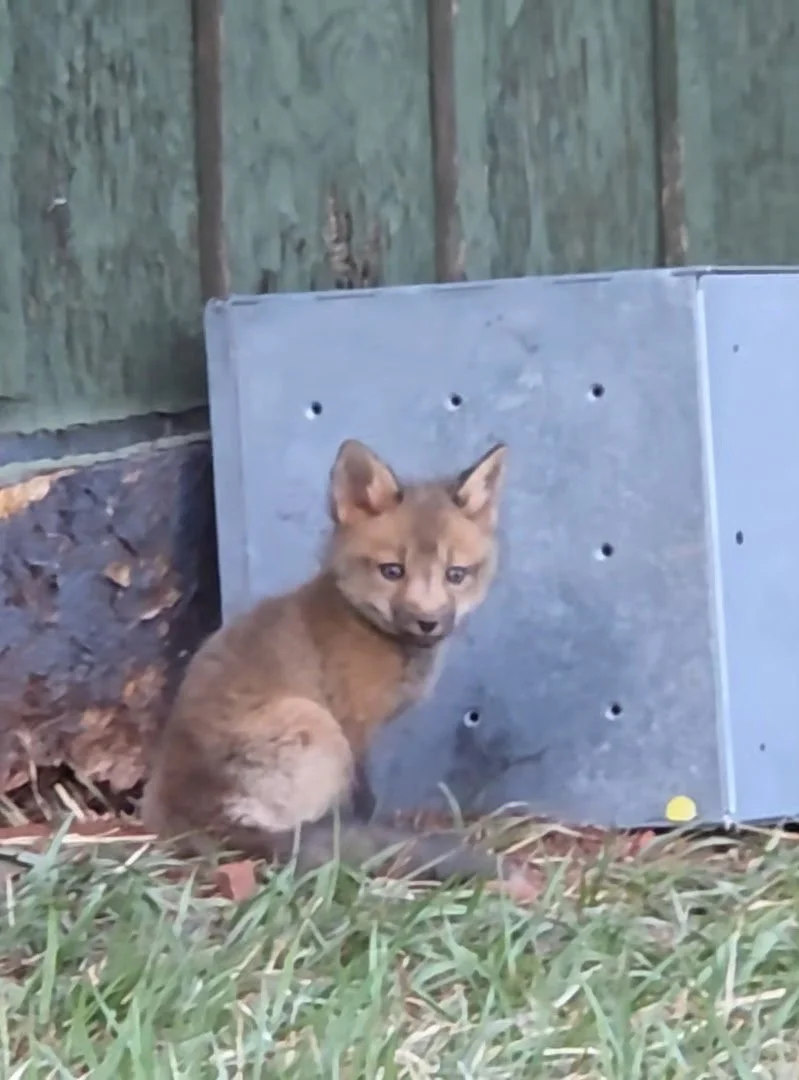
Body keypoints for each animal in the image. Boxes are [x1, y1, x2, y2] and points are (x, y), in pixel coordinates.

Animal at [141, 437, 509, 881]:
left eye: (456, 575)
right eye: (392, 571)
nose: (428, 622)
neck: (366, 625)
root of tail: (196, 812)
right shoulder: (353, 724)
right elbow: (363, 802)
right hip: (314, 723)